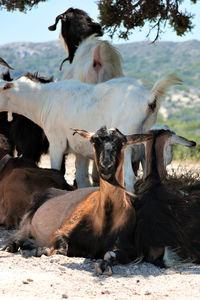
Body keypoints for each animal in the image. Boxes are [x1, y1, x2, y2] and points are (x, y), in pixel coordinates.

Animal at [0, 65, 181, 192]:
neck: (45, 99)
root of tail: (149, 98)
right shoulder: (79, 150)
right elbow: (82, 180)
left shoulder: (57, 142)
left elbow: (56, 170)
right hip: (146, 147)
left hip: (128, 145)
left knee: (129, 178)